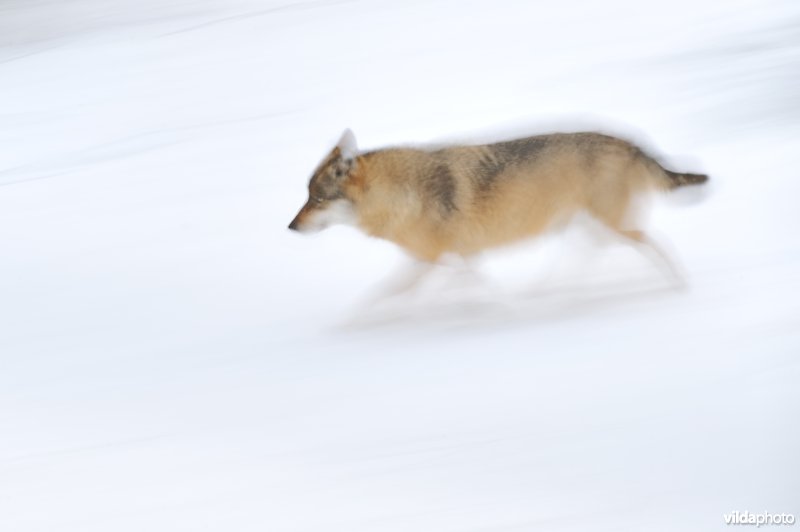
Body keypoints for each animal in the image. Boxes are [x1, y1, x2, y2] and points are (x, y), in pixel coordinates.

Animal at [288, 129, 707, 286]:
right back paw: (549, 291)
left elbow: (380, 300)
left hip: (612, 226)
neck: (403, 194)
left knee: (657, 246)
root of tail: (628, 141)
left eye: (317, 199)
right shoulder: (456, 258)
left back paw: (679, 284)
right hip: (592, 226)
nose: (290, 227)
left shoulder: (433, 259)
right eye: (306, 198)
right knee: (589, 254)